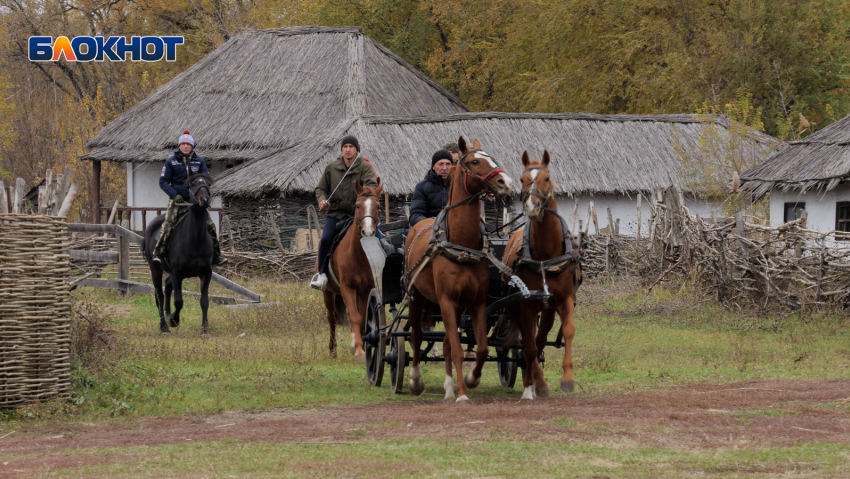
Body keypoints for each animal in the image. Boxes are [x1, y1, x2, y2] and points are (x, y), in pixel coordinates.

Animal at [143, 174, 215, 336]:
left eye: (208, 184)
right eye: (193, 184)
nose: (205, 200)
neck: (195, 240)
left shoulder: (206, 273)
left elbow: (204, 302)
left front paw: (205, 328)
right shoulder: (177, 273)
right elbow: (179, 301)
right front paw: (174, 321)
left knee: (167, 286)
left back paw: (168, 315)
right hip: (155, 269)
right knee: (159, 296)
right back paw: (164, 326)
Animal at [320, 182, 382, 362]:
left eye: (378, 206)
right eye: (358, 205)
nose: (367, 232)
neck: (359, 254)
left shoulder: (365, 290)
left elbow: (361, 319)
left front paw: (362, 347)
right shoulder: (347, 288)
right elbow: (354, 316)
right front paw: (360, 351)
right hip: (328, 293)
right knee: (332, 318)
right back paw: (333, 351)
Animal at [404, 137, 510, 404]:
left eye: (491, 157)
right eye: (475, 161)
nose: (505, 182)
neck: (462, 245)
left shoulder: (476, 302)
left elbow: (479, 348)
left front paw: (471, 379)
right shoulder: (447, 300)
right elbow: (458, 351)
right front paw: (462, 394)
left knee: (445, 343)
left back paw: (449, 387)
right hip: (417, 298)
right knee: (417, 336)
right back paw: (416, 381)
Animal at [500, 152, 580, 400]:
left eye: (547, 177)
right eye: (522, 179)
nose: (532, 206)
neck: (546, 255)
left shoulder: (563, 300)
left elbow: (568, 332)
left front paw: (568, 378)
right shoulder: (525, 305)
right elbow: (529, 346)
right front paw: (535, 384)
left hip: (547, 308)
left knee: (540, 338)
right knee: (529, 342)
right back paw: (534, 381)